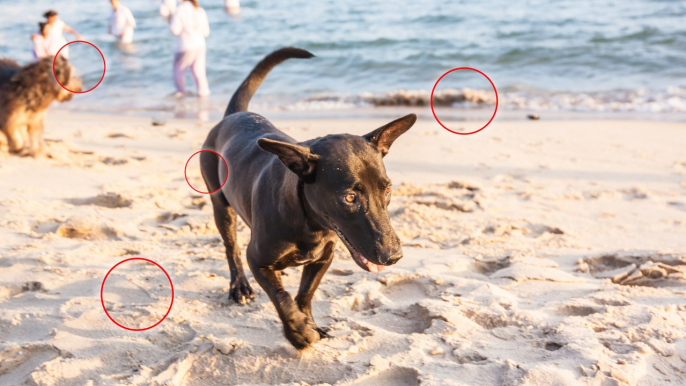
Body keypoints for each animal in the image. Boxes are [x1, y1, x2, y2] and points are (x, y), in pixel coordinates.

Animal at [202, 46, 416, 348]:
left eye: (387, 190)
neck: (309, 223)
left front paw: (310, 323)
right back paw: (240, 287)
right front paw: (297, 332)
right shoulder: (256, 258)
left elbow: (305, 294)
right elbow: (281, 297)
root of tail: (234, 115)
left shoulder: (322, 259)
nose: (393, 256)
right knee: (231, 248)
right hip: (220, 205)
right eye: (349, 198)